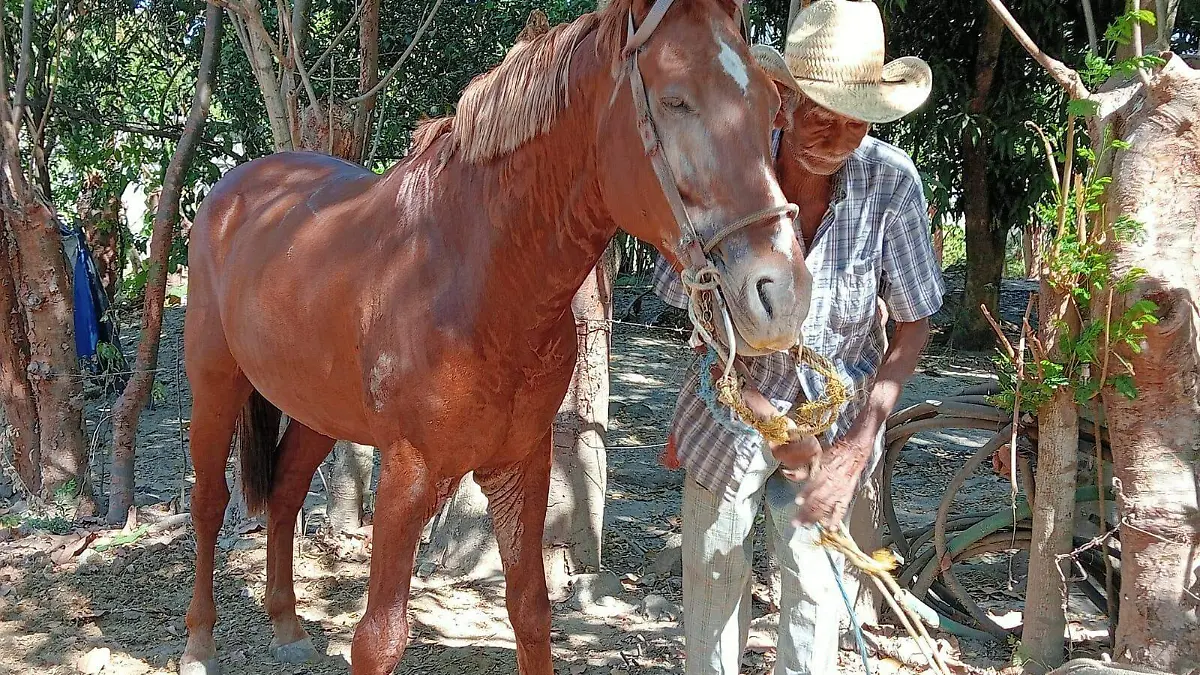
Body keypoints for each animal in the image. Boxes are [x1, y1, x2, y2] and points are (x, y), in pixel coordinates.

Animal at [180, 0, 812, 673]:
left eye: (771, 107)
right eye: (675, 101)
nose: (783, 293)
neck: (476, 278)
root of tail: (235, 189)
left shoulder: (522, 464)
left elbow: (530, 610)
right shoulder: (408, 475)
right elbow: (379, 637)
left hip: (316, 411)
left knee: (284, 495)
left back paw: (286, 624)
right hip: (215, 387)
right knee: (209, 506)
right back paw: (199, 643)